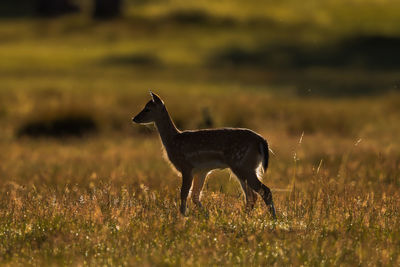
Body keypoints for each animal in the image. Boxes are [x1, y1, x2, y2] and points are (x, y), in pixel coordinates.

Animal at [133, 92, 276, 220]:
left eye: (147, 108)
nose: (134, 118)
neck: (173, 141)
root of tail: (262, 141)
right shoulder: (201, 171)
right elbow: (195, 196)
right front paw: (206, 215)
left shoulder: (186, 166)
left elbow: (184, 193)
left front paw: (182, 217)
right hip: (247, 168)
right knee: (251, 195)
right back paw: (244, 217)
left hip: (242, 165)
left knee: (264, 191)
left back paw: (273, 218)